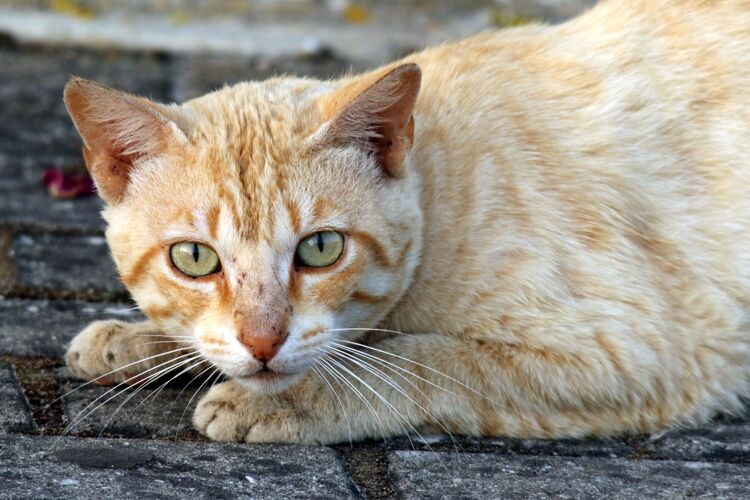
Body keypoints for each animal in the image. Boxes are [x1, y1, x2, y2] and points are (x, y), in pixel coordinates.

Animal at [63, 0, 750, 446]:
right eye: (194, 259)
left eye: (320, 249)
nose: (262, 343)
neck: (439, 184)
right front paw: (136, 341)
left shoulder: (629, 352)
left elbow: (414, 358)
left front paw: (279, 400)